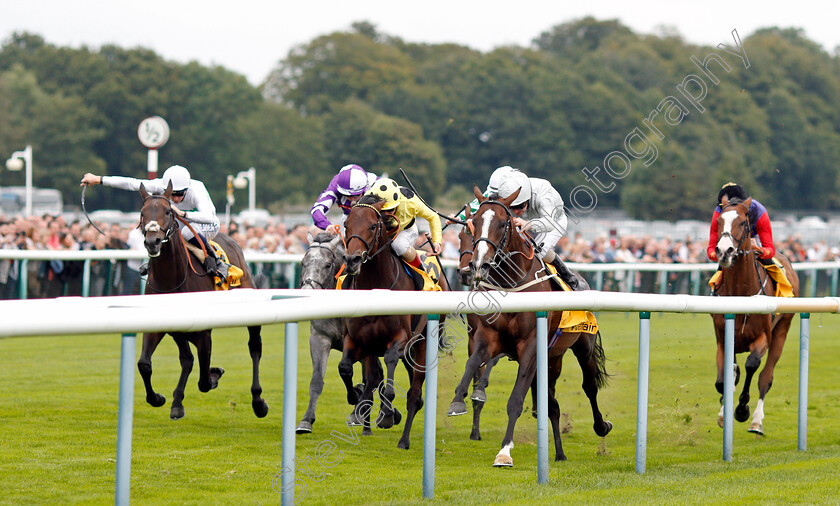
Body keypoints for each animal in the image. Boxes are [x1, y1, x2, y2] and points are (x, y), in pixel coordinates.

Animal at [137, 184, 270, 422]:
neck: (173, 280)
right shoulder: (161, 325)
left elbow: (204, 382)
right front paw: (159, 398)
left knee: (255, 348)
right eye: (143, 214)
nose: (152, 242)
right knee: (187, 359)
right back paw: (177, 403)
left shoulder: (204, 333)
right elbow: (144, 364)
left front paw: (214, 374)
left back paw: (258, 402)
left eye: (168, 212)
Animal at [338, 196, 450, 448]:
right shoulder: (357, 339)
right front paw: (354, 397)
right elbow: (346, 368)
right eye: (346, 225)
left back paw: (403, 439)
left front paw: (388, 414)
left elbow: (389, 363)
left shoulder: (401, 338)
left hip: (422, 343)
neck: (377, 287)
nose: (352, 260)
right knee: (374, 379)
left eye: (372, 226)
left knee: (415, 394)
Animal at [446, 188, 612, 468]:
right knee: (552, 404)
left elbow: (515, 400)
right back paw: (559, 452)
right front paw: (459, 400)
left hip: (582, 346)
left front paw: (504, 452)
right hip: (552, 358)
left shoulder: (530, 347)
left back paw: (601, 426)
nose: (476, 267)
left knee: (589, 386)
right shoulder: (486, 338)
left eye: (503, 224)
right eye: (472, 224)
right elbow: (473, 364)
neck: (511, 285)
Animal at [716, 196, 800, 432]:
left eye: (744, 222)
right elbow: (725, 379)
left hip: (782, 330)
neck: (741, 294)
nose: (724, 251)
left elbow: (752, 365)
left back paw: (756, 421)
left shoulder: (763, 336)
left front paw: (741, 409)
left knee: (766, 377)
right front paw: (724, 411)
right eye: (719, 222)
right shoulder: (723, 337)